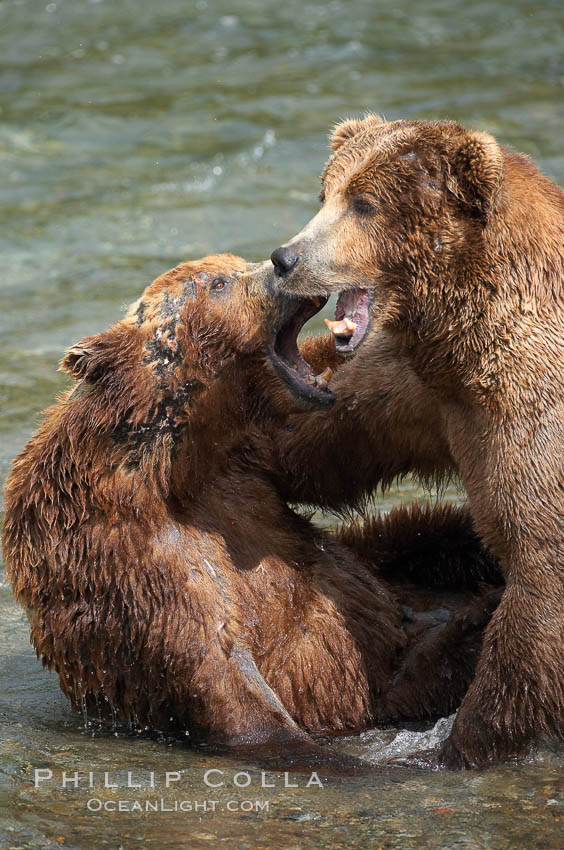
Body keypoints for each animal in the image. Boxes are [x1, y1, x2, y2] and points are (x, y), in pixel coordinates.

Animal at [1, 250, 498, 768]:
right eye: (219, 283)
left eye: (237, 263)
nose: (282, 263)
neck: (184, 464)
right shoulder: (130, 550)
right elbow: (217, 664)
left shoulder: (257, 453)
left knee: (435, 539)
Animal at [266, 114, 564, 768]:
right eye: (325, 193)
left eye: (364, 203)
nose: (284, 257)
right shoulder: (428, 389)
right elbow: (335, 436)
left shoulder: (533, 417)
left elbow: (539, 573)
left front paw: (459, 743)